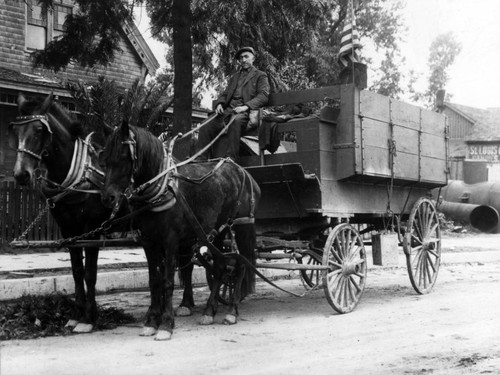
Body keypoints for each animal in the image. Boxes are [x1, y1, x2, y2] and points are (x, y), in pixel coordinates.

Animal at [8, 92, 128, 334]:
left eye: (39, 129)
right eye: (15, 130)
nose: (21, 174)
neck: (80, 175)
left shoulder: (92, 230)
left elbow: (90, 273)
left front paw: (89, 318)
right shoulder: (68, 230)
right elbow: (76, 271)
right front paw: (75, 315)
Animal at [99, 119, 260, 340]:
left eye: (124, 156)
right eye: (105, 158)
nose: (108, 197)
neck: (161, 188)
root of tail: (243, 171)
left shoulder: (170, 241)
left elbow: (168, 281)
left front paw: (166, 323)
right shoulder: (149, 242)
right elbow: (154, 281)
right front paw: (151, 321)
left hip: (240, 227)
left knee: (240, 265)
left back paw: (231, 312)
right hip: (217, 232)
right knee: (220, 266)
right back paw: (209, 311)